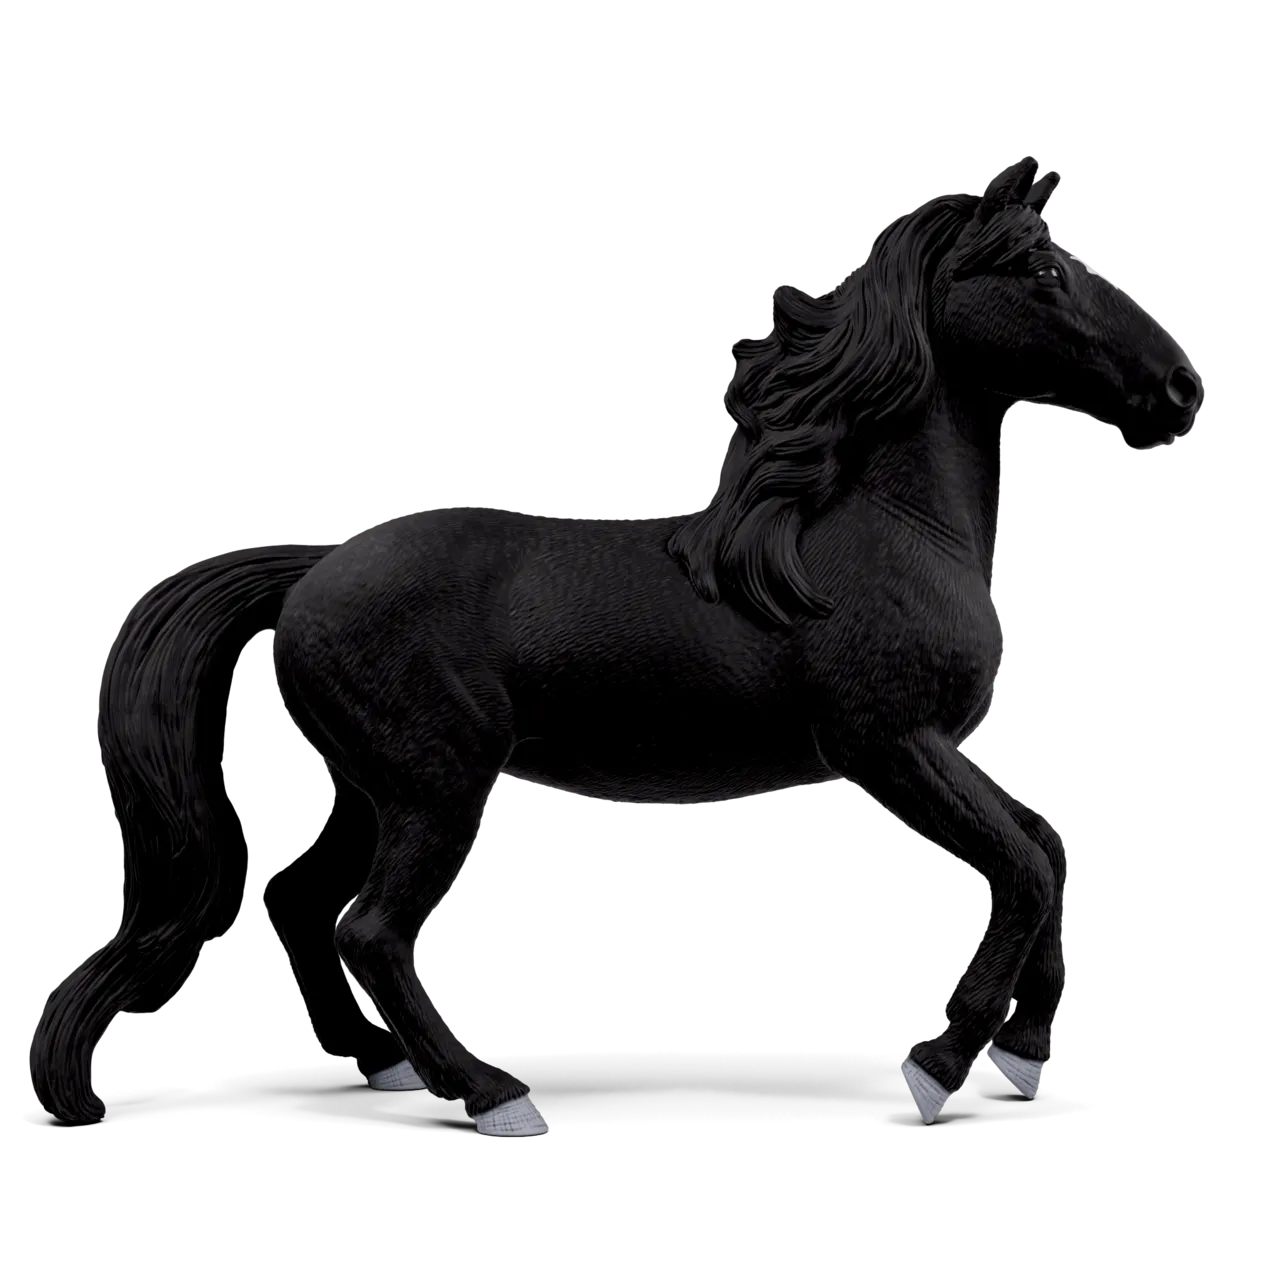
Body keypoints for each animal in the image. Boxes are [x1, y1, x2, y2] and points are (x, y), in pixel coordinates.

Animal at [31, 156, 1204, 1129]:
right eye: (1043, 267)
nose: (1180, 388)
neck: (893, 527)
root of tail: (311, 569)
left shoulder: (934, 747)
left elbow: (1048, 847)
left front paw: (1024, 1053)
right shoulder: (888, 743)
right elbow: (1021, 867)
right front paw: (938, 1064)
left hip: (370, 787)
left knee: (299, 900)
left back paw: (380, 1067)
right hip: (436, 789)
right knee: (369, 928)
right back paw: (494, 1093)